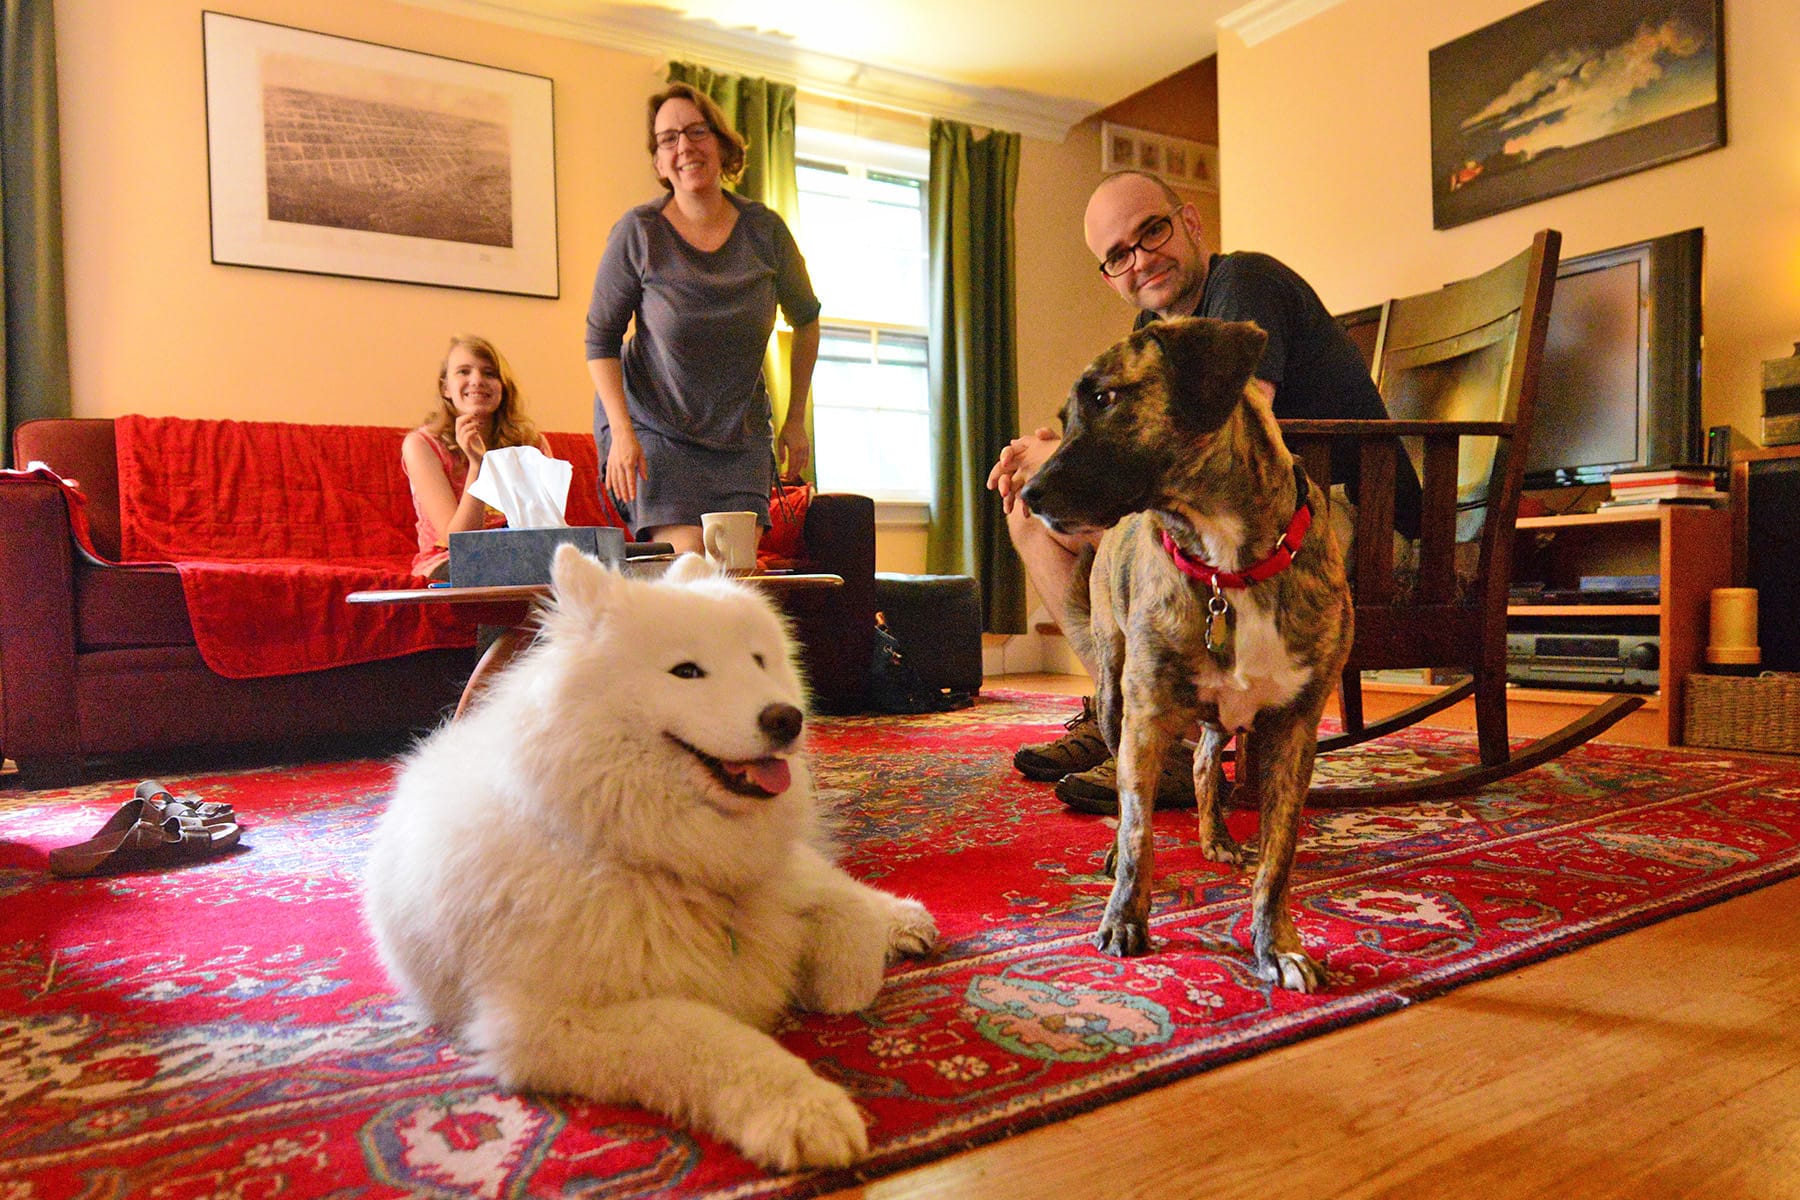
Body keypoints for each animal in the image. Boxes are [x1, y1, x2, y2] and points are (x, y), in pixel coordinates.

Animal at [362, 547, 938, 1171]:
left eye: (759, 661)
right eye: (686, 672)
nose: (787, 718)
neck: (648, 851)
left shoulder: (773, 877)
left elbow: (840, 919)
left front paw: (842, 975)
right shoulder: (549, 1022)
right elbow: (704, 1037)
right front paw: (804, 1109)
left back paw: (904, 919)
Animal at [1019, 316, 1353, 992]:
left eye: (1105, 398)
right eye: (1066, 416)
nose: (1029, 493)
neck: (1229, 563)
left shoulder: (1294, 727)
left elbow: (1278, 856)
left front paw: (1277, 946)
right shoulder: (1146, 717)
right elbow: (1138, 829)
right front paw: (1125, 919)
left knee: (1202, 763)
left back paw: (1216, 837)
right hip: (1116, 692)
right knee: (1137, 792)